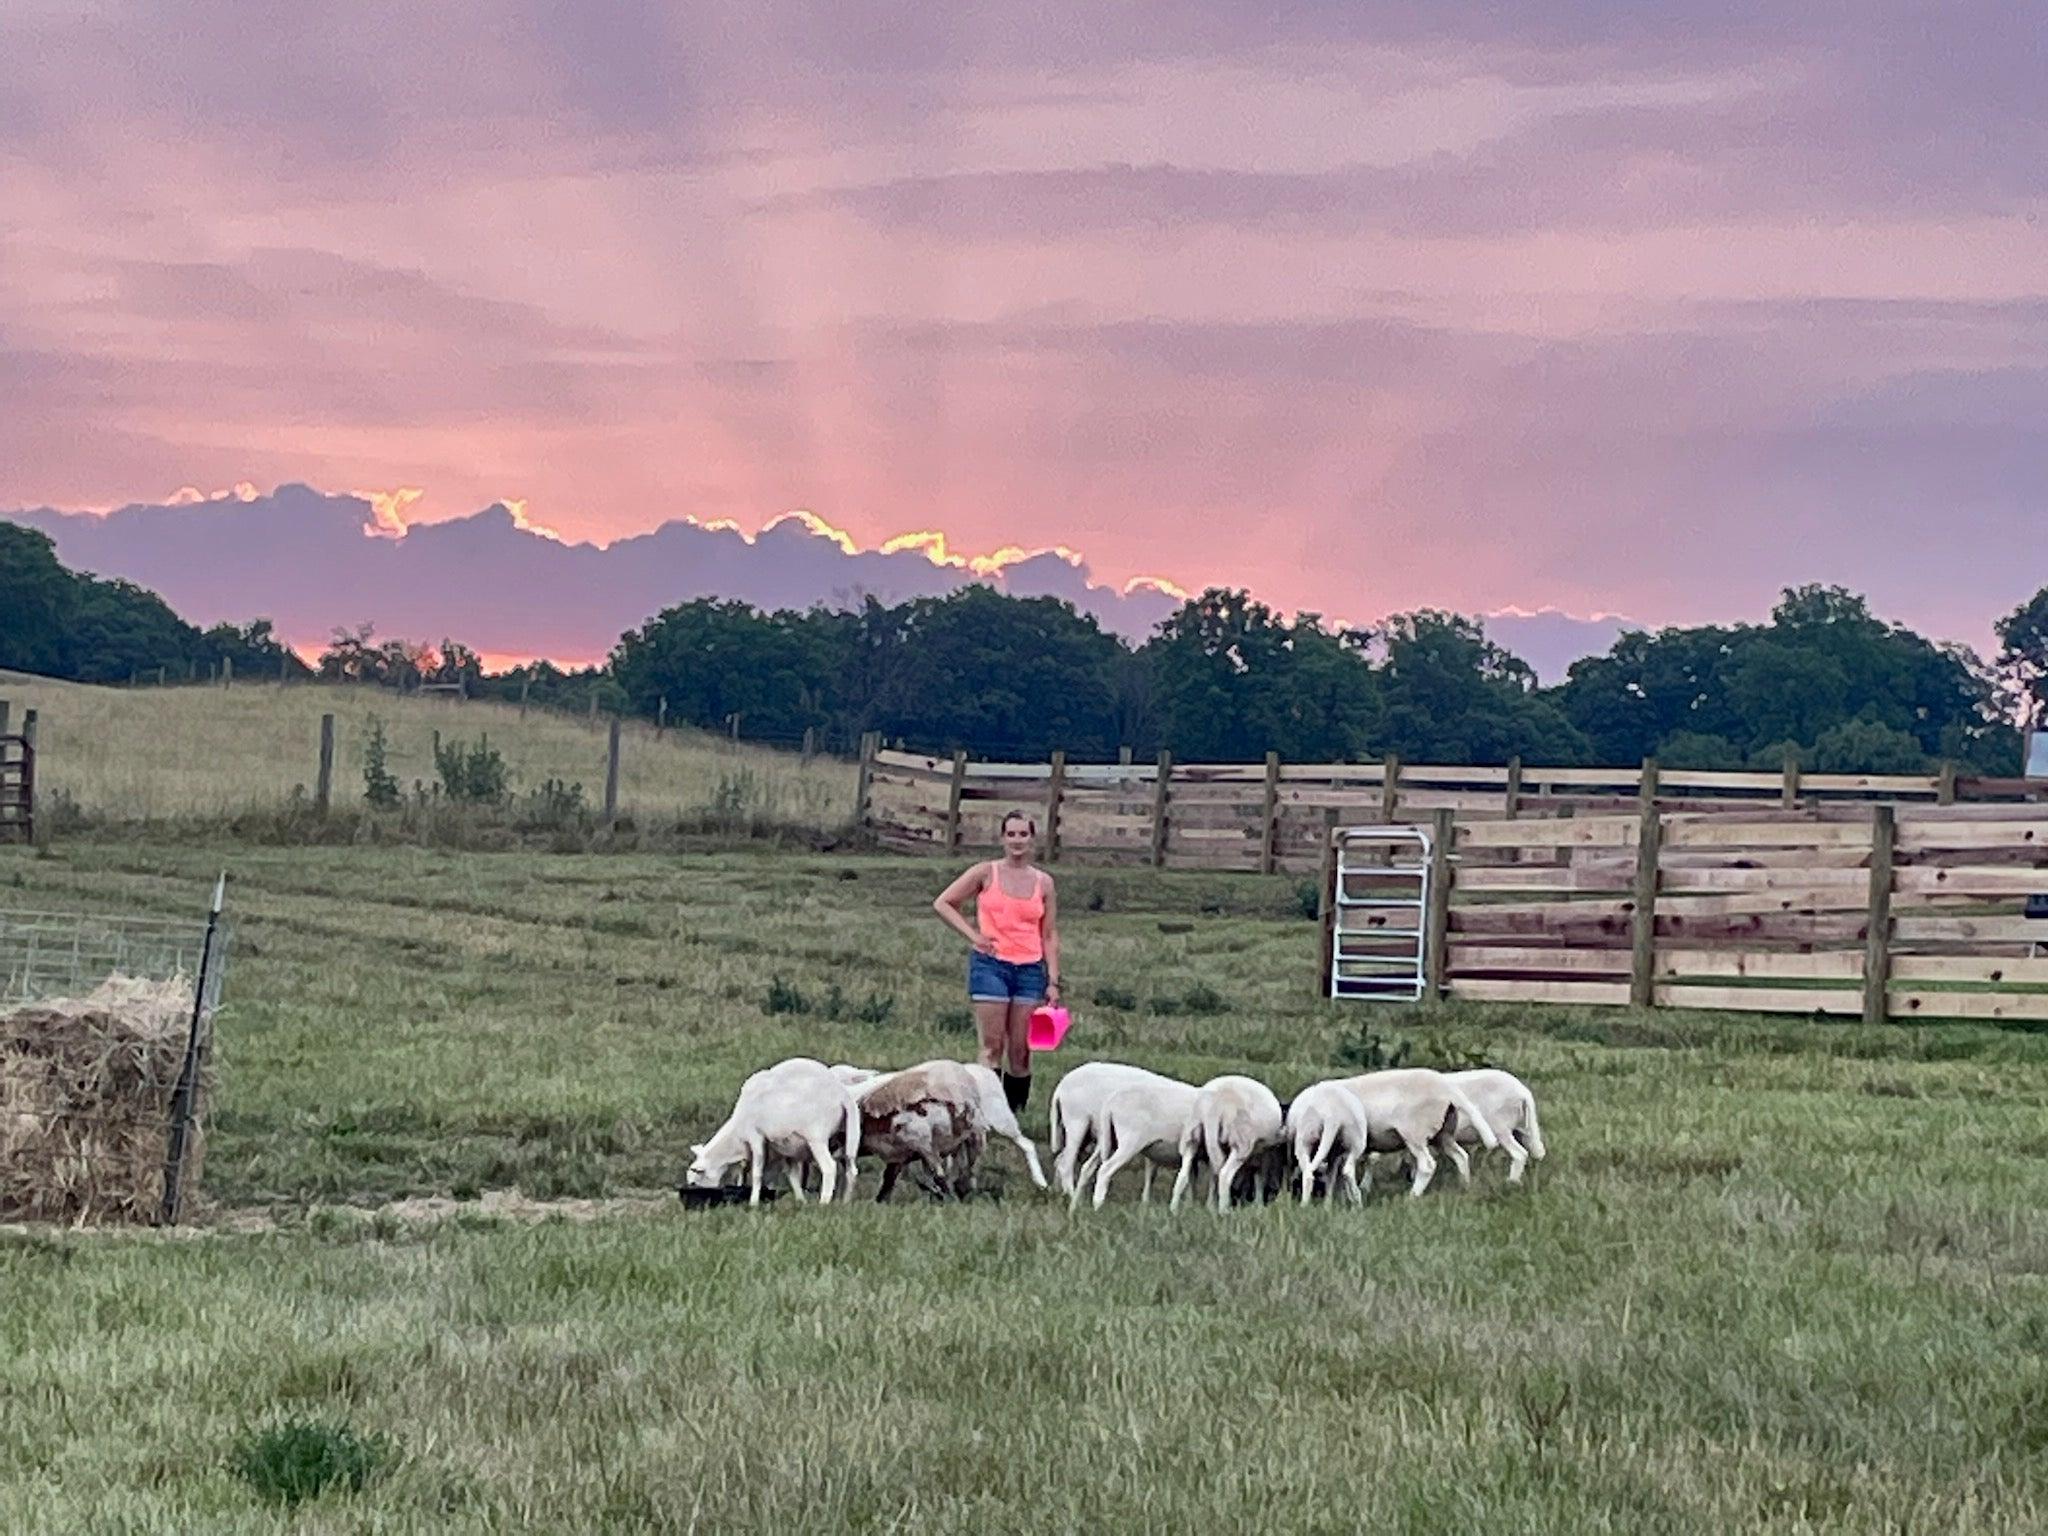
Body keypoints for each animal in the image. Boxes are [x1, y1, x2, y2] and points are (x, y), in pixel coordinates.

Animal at [679, 1064, 856, 1212]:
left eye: (694, 1183)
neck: (736, 1137)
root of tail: (842, 1094)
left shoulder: (756, 1137)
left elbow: (757, 1173)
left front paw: (753, 1202)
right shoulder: (787, 1149)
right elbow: (792, 1175)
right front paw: (800, 1201)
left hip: (816, 1137)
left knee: (829, 1167)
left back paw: (824, 1202)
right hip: (845, 1138)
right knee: (850, 1169)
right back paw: (846, 1202)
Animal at [1048, 1056, 1179, 1204]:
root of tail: (1060, 1087)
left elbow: (1151, 1170)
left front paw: (1145, 1202)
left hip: (1086, 1134)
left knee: (1060, 1159)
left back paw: (1059, 1193)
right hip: (1077, 1122)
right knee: (1066, 1164)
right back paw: (1072, 1196)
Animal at [1187, 1081, 1277, 1212]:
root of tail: (1216, 1107)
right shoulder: (1263, 1151)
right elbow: (1261, 1175)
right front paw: (1258, 1205)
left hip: (1201, 1134)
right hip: (1241, 1142)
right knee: (1224, 1174)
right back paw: (1224, 1210)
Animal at [1335, 1073, 1499, 1204]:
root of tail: (1448, 1090)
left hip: (1415, 1133)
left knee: (1427, 1166)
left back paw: (1411, 1198)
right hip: (1443, 1133)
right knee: (1461, 1156)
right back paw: (1465, 1188)